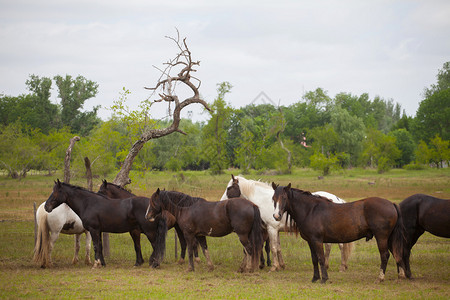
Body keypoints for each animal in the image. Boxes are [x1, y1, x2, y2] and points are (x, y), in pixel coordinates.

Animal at [221, 175, 356, 274]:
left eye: (229, 188)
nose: (222, 202)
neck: (264, 201)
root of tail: (338, 200)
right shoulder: (275, 230)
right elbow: (278, 248)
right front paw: (281, 265)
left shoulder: (271, 229)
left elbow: (273, 248)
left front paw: (274, 267)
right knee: (328, 247)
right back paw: (327, 265)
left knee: (341, 246)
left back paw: (342, 266)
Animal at [272, 183, 406, 284]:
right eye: (273, 198)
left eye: (284, 198)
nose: (276, 216)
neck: (310, 210)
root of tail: (391, 204)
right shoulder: (310, 241)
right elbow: (314, 259)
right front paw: (315, 278)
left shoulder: (317, 240)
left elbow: (321, 258)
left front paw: (324, 279)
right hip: (389, 238)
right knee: (396, 253)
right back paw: (401, 275)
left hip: (381, 237)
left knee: (385, 255)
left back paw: (380, 278)